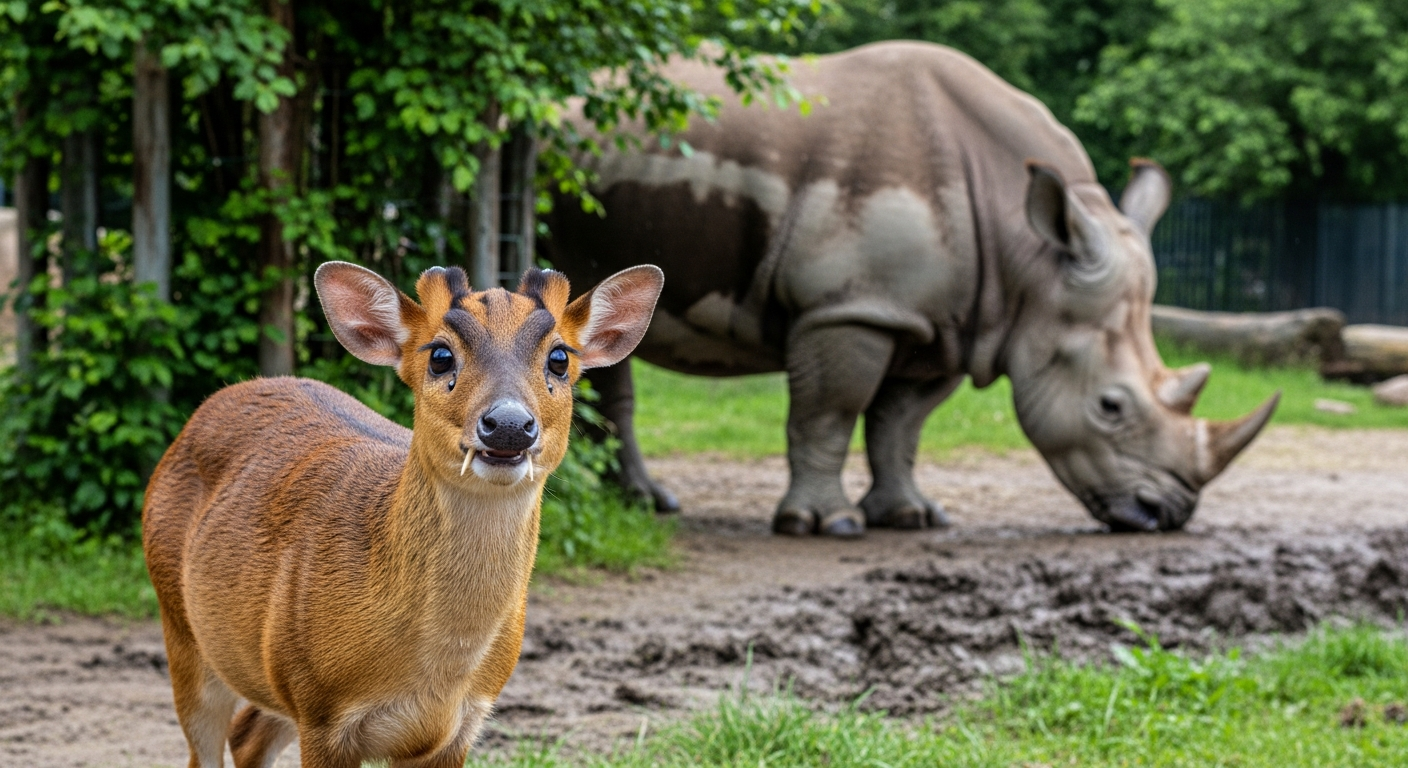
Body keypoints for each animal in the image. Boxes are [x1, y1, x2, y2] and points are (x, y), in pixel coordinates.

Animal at [142, 260, 664, 768]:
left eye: (559, 358)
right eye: (440, 356)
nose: (509, 424)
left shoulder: (458, 727)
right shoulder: (320, 709)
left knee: (247, 735)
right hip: (183, 626)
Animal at [542, 41, 1279, 537]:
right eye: (1111, 407)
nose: (1168, 514)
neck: (1031, 263)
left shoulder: (951, 321)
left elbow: (901, 424)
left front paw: (909, 515)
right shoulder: (853, 308)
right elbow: (830, 411)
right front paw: (824, 525)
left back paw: (646, 503)